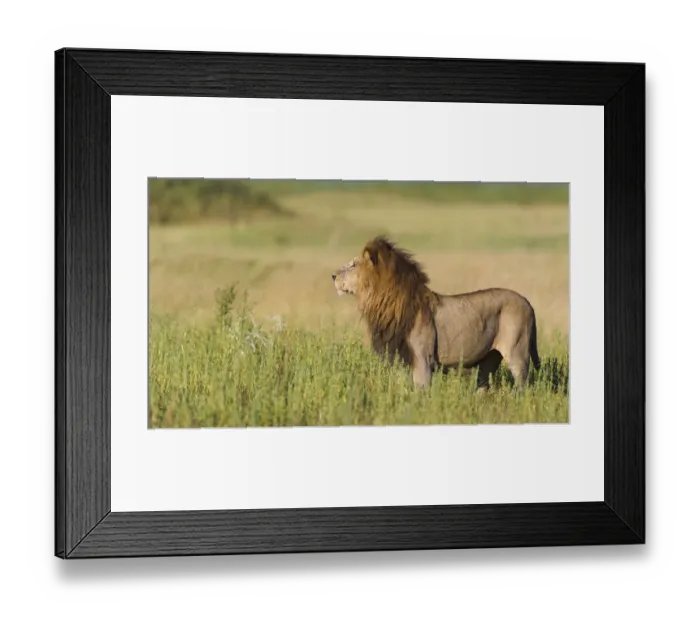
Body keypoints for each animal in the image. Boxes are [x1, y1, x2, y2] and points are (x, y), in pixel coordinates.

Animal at [331, 236, 540, 390]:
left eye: (353, 265)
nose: (332, 275)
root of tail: (527, 301)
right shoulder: (401, 359)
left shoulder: (423, 359)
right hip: (489, 358)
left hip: (518, 353)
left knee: (523, 387)